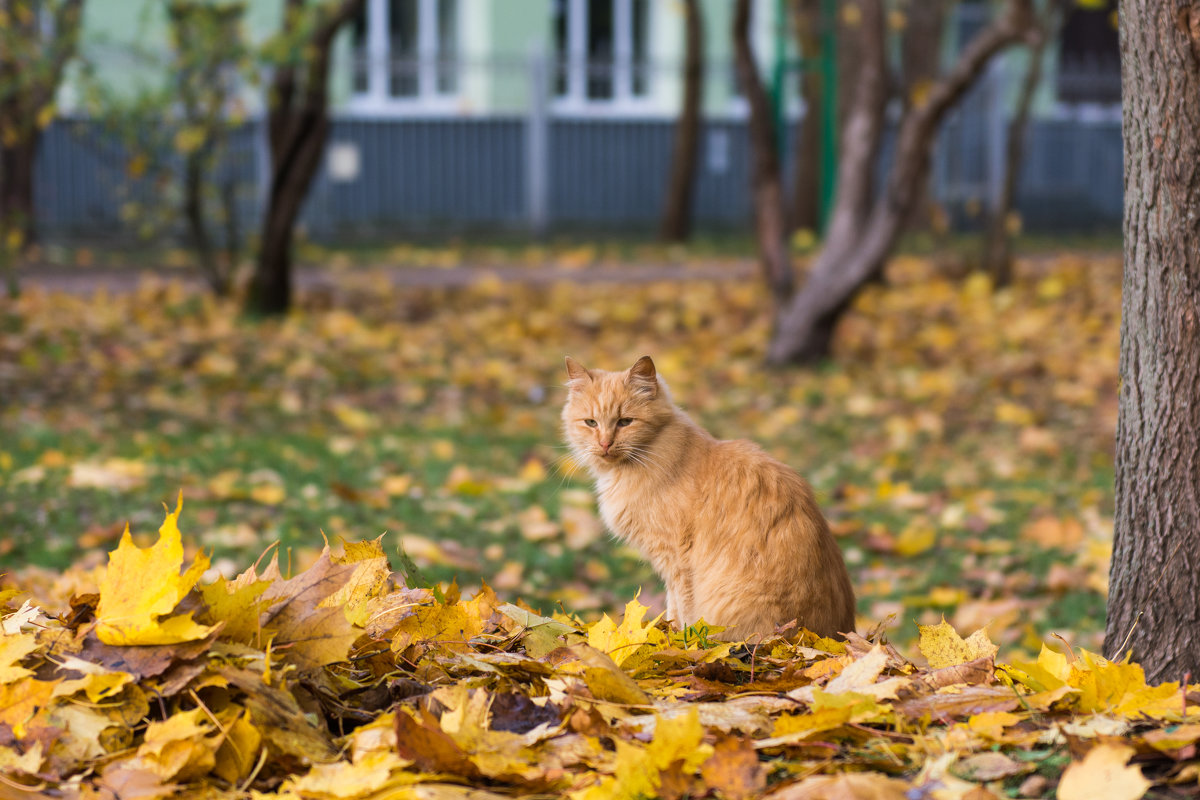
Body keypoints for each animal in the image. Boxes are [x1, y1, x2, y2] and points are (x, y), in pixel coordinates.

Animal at [561, 355, 854, 638]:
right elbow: (672, 606)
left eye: (625, 422)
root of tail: (833, 634)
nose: (605, 444)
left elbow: (682, 611)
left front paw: (679, 640)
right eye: (590, 423)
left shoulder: (676, 560)